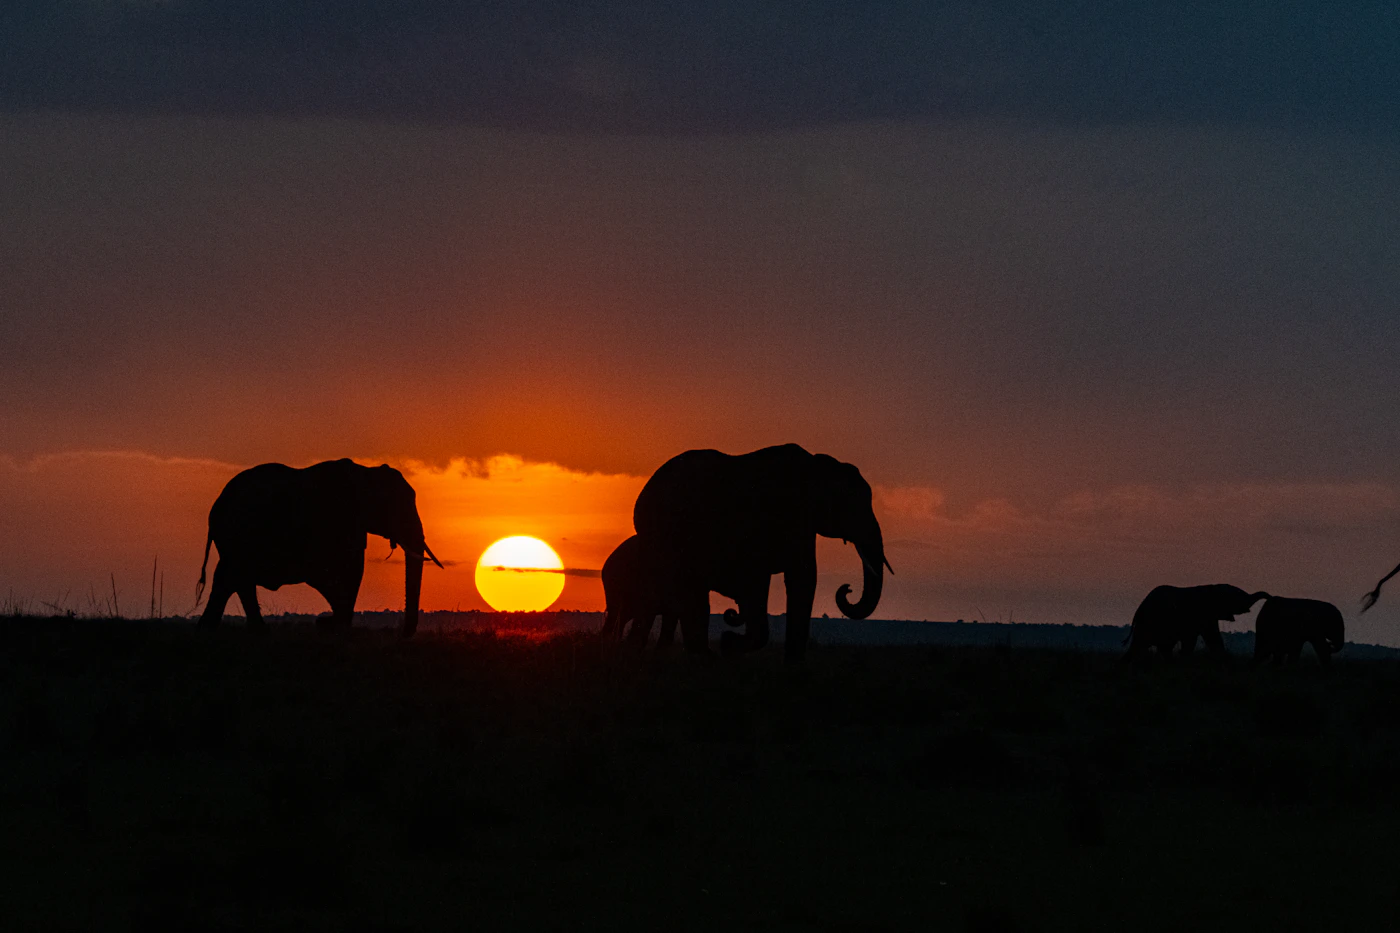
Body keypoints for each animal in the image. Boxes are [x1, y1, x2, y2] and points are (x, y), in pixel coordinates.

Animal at [195, 459, 442, 636]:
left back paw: (219, 629)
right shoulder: (332, 521)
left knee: (230, 577)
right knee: (235, 576)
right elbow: (331, 573)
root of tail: (216, 505)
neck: (365, 473)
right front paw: (331, 624)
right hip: (238, 532)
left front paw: (330, 624)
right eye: (396, 505)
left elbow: (350, 570)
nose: (403, 634)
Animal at [631, 444, 890, 662]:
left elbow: (802, 577)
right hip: (664, 538)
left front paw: (793, 667)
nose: (847, 589)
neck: (816, 466)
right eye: (852, 506)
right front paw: (729, 644)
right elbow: (770, 580)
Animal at [1122, 584, 1269, 660]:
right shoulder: (1203, 615)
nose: (1269, 596)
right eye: (1237, 596)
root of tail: (1139, 609)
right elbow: (1205, 637)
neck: (1213, 588)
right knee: (1141, 643)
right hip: (1150, 622)